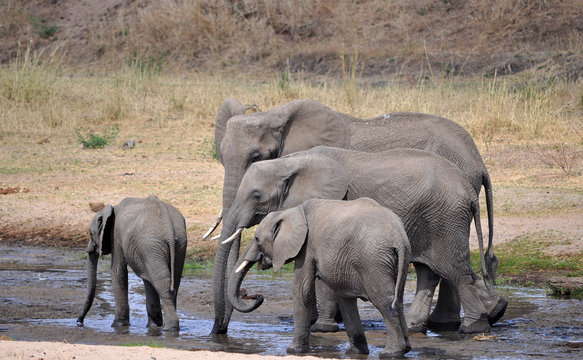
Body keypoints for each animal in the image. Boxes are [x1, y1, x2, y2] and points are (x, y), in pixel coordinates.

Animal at [76, 195, 187, 330]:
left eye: (91, 234)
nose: (79, 322)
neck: (112, 208)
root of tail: (168, 226)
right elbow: (147, 280)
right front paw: (152, 327)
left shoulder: (116, 236)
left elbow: (118, 272)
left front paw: (117, 326)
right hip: (176, 243)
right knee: (171, 280)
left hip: (151, 243)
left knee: (162, 282)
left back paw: (169, 328)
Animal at [208, 97, 496, 334]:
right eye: (221, 155)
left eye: (256, 157)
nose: (252, 295)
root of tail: (478, 162)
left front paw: (322, 327)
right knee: (430, 270)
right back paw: (427, 324)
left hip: (444, 216)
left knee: (452, 268)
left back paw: (468, 327)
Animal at [228, 198, 410, 358]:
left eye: (257, 239)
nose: (257, 296)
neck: (292, 211)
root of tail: (399, 238)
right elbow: (345, 298)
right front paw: (355, 353)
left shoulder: (307, 247)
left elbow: (302, 292)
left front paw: (293, 351)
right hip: (398, 259)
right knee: (398, 299)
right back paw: (405, 349)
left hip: (374, 261)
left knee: (385, 302)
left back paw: (391, 353)